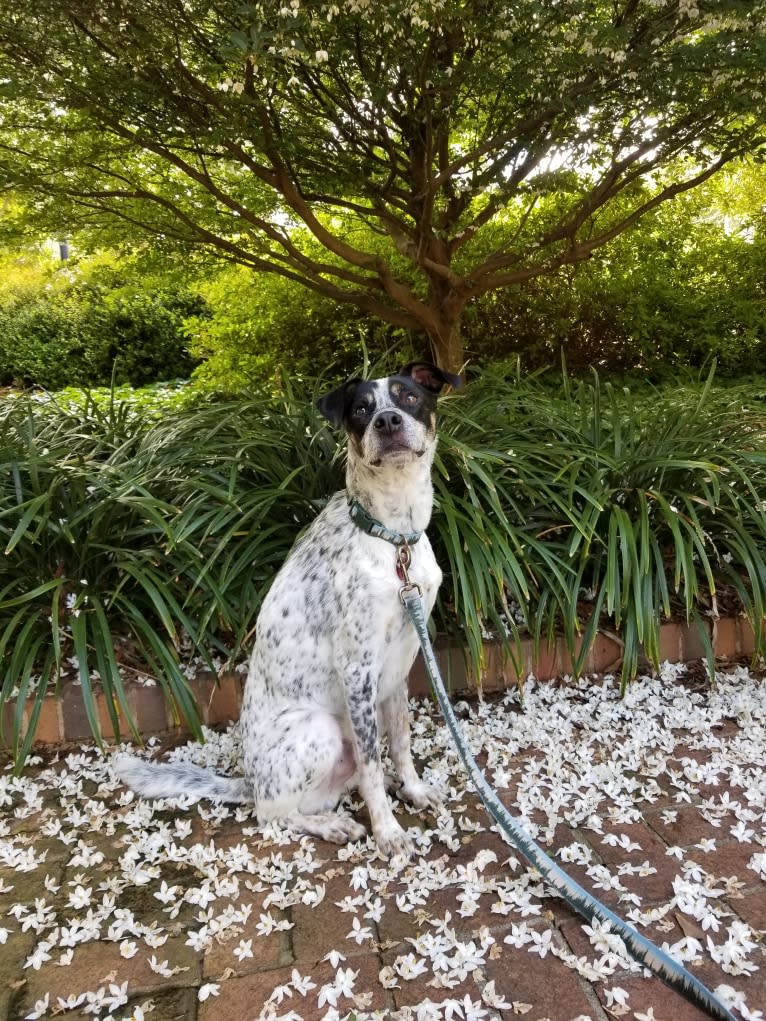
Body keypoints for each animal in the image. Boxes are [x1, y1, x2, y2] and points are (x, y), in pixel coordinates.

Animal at [114, 363, 461, 857]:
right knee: (272, 815)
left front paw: (411, 790)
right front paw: (388, 831)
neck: (393, 536)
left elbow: (400, 742)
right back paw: (334, 826)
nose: (387, 421)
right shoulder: (357, 667)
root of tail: (250, 783)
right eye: (361, 409)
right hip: (320, 730)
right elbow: (374, 766)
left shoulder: (402, 662)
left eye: (408, 397)